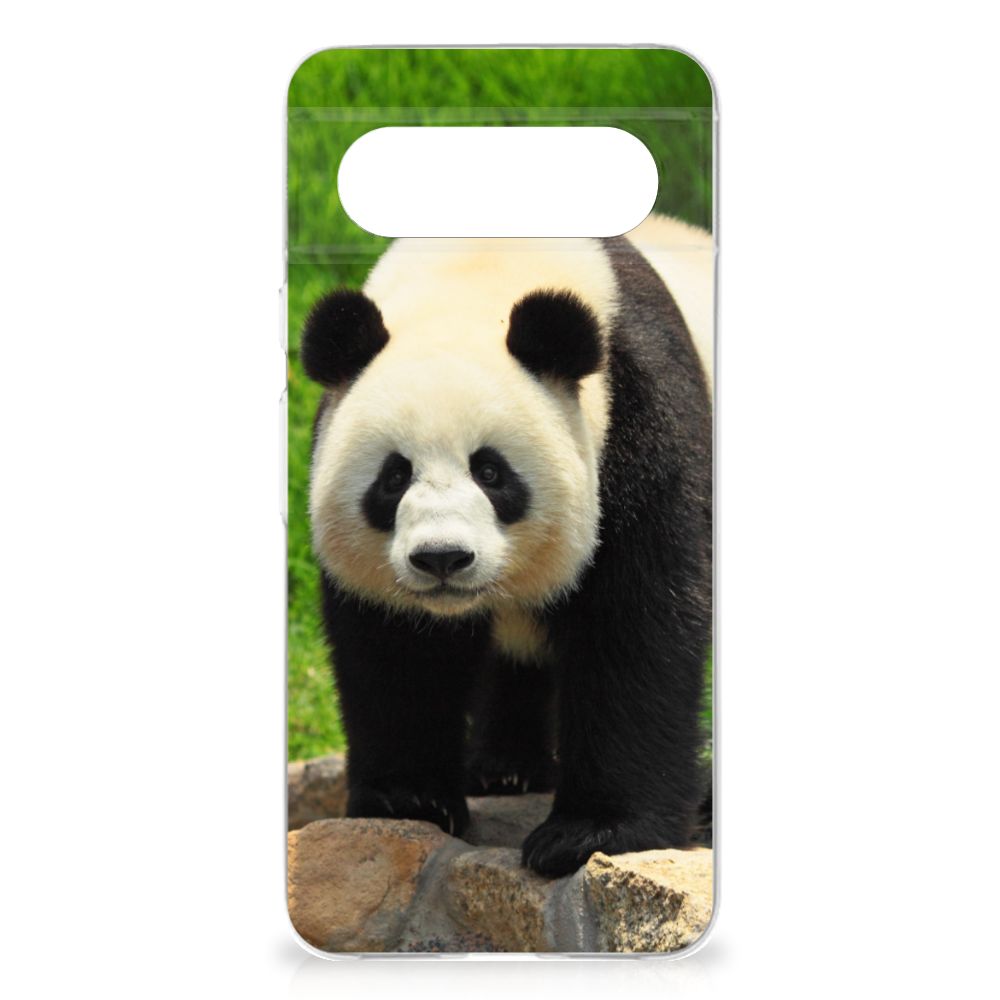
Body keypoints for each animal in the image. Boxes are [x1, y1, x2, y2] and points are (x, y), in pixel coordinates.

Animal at [301, 214, 713, 878]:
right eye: (394, 476)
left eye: (491, 472)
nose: (442, 558)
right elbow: (397, 649)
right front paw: (409, 800)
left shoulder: (640, 415)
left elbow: (637, 623)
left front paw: (589, 833)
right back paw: (504, 768)